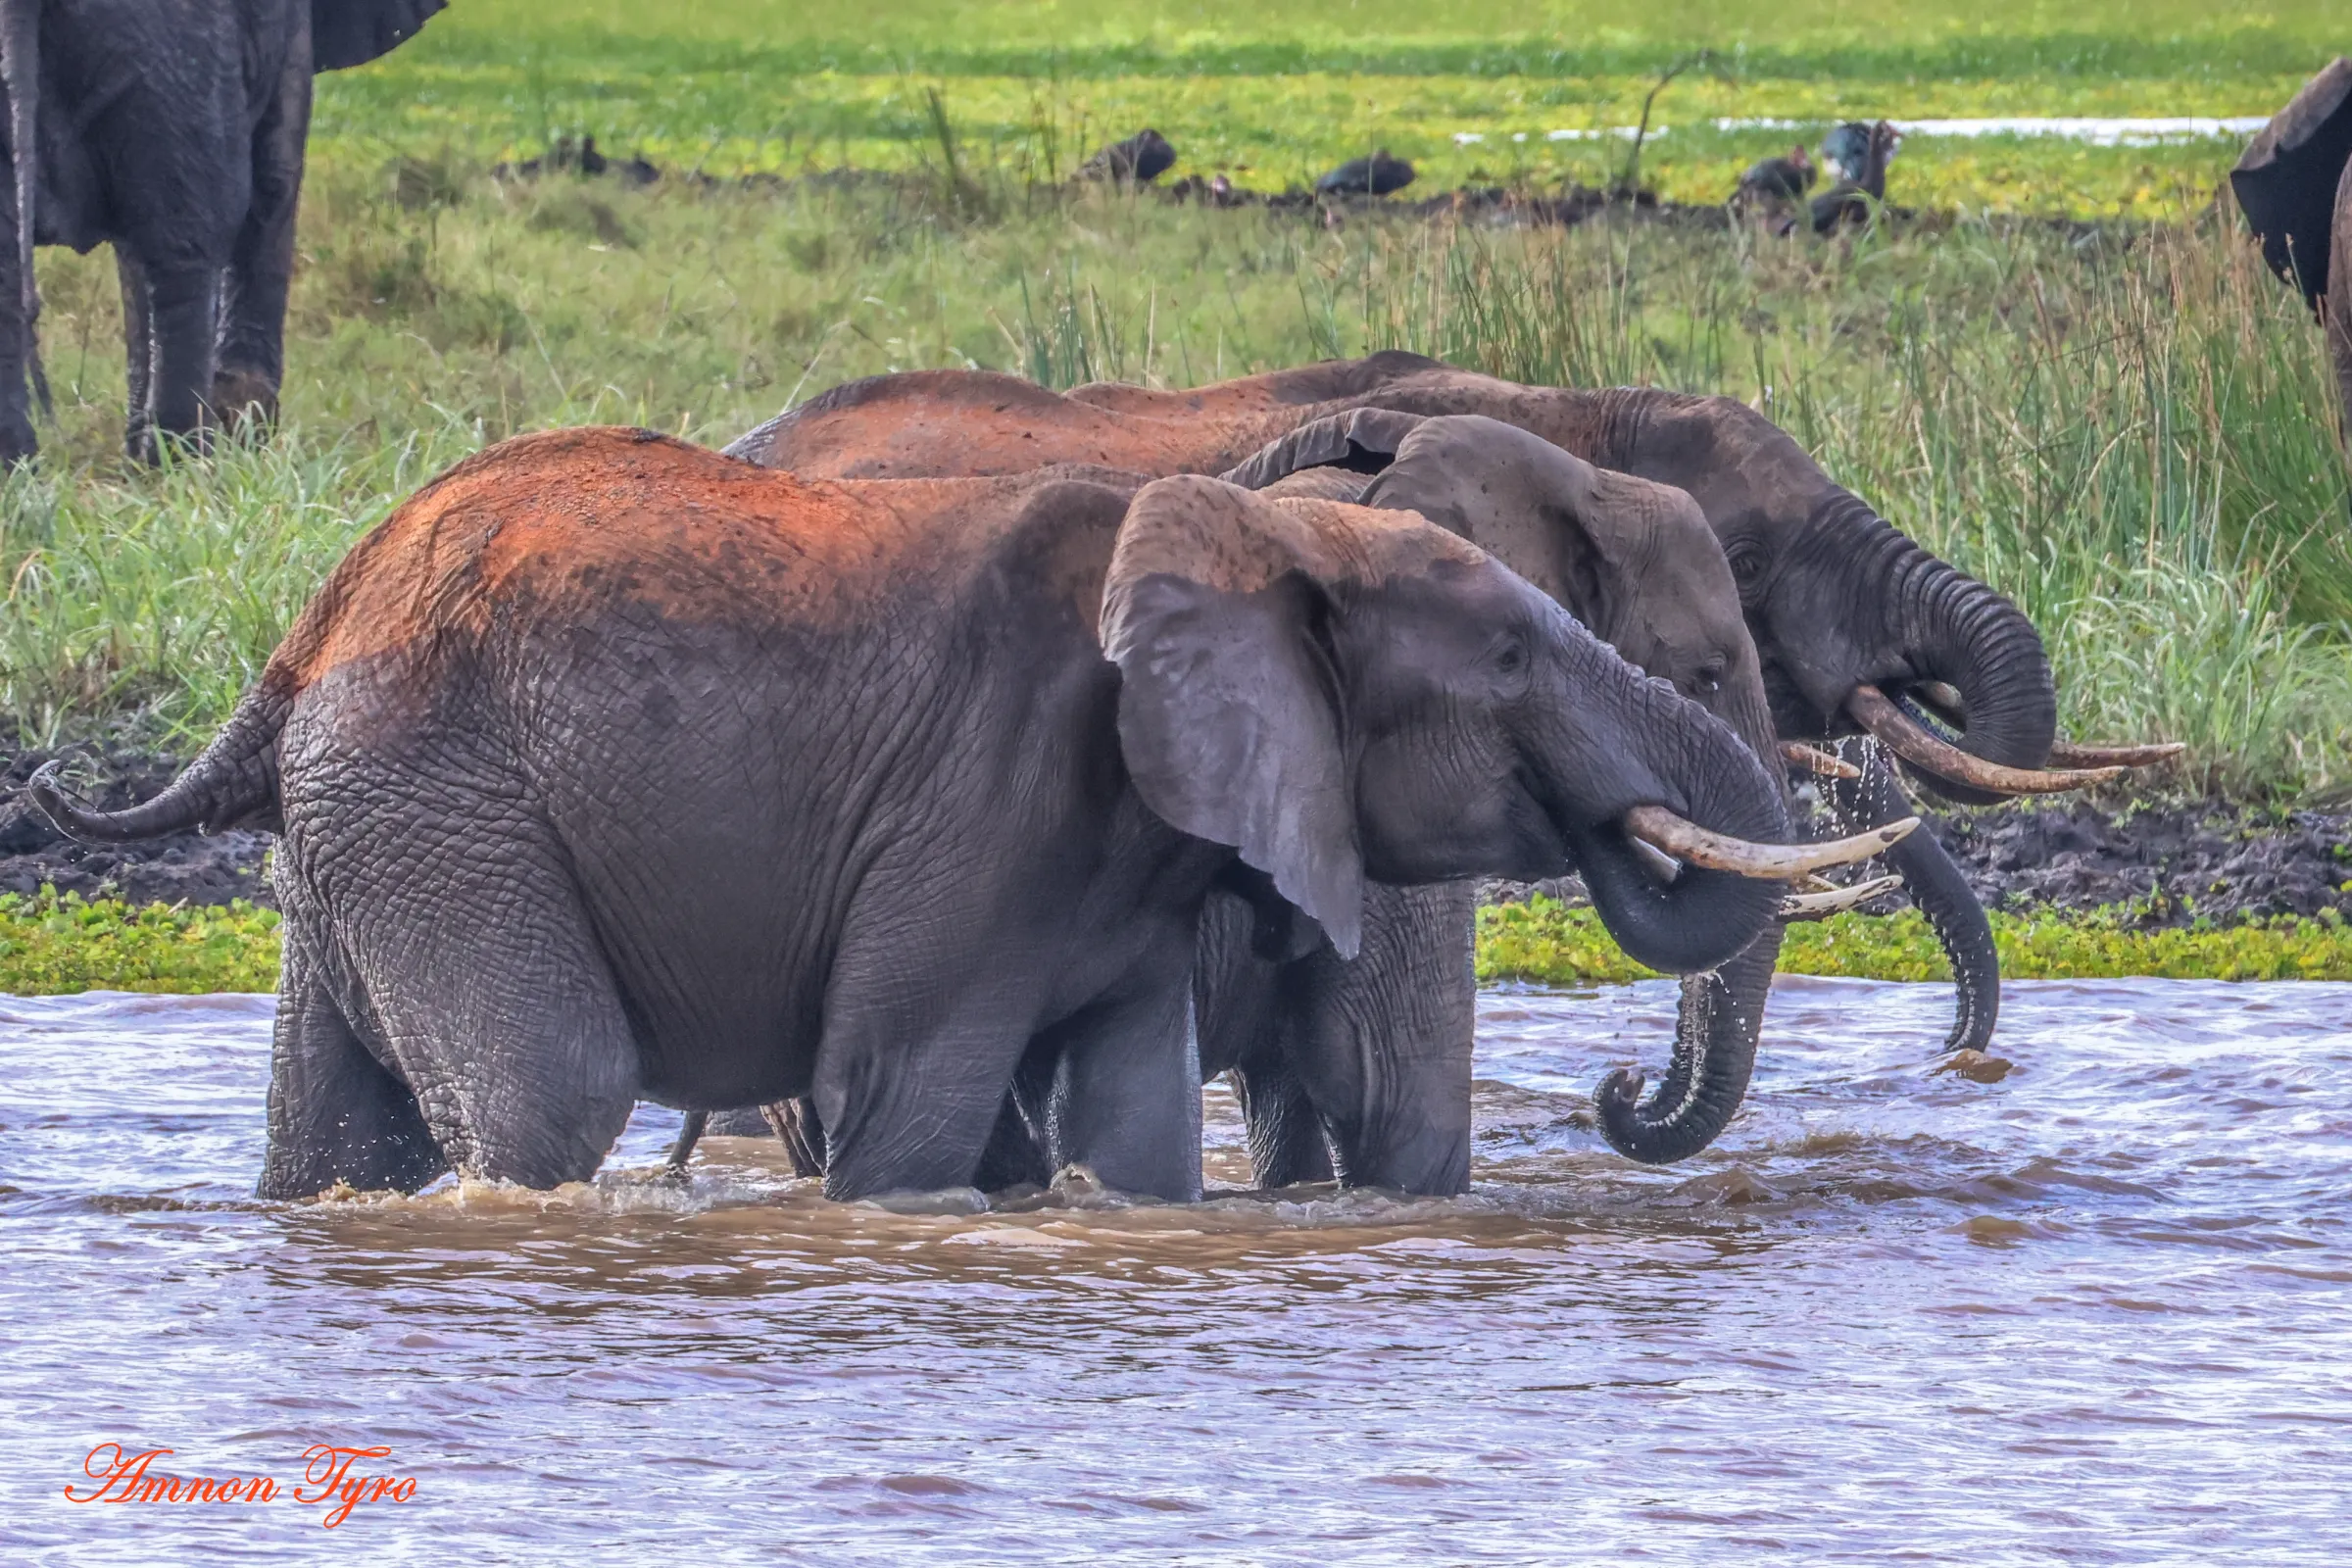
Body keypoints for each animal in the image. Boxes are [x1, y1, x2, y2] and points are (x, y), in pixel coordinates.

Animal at [0, 0, 446, 464]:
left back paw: (25, 466)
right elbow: (273, 181)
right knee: (188, 247)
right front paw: (247, 437)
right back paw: (183, 463)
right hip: (178, 50)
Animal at [27, 425, 1879, 1203]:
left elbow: (1131, 1121)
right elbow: (904, 1098)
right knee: (551, 1094)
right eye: (1505, 655)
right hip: (442, 802)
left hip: (367, 826)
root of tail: (309, 624)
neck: (1269, 533)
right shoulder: (989, 793)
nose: (1618, 1087)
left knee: (336, 1124)